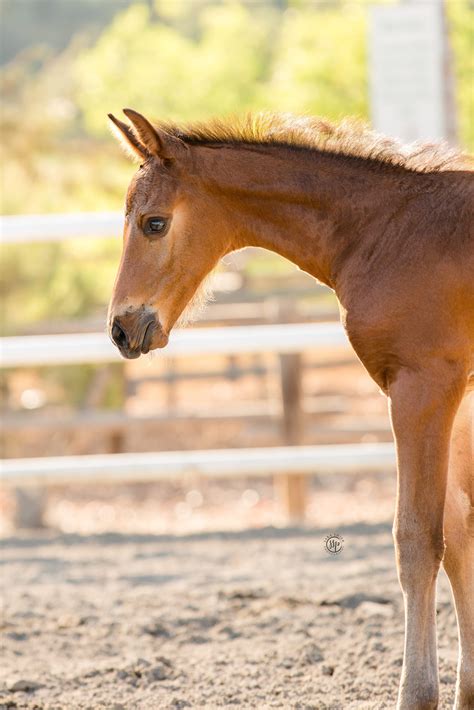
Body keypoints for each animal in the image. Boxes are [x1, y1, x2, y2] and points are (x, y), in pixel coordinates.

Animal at [107, 108, 474, 708]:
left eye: (153, 223)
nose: (121, 327)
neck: (386, 230)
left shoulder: (421, 386)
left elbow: (417, 539)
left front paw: (416, 694)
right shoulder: (457, 393)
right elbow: (460, 531)